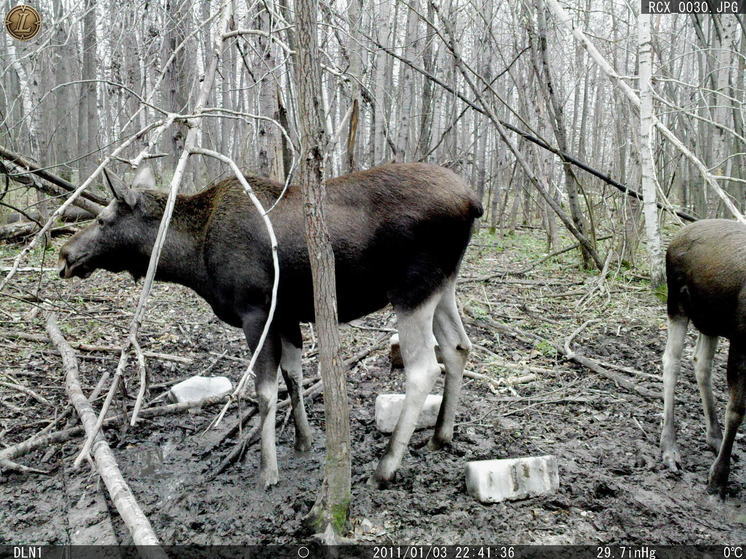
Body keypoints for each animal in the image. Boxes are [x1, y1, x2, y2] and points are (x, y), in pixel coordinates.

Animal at [55, 163, 480, 490]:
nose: (65, 255)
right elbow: (293, 376)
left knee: (423, 368)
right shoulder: (287, 315)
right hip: (443, 286)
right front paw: (303, 442)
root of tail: (473, 202)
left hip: (411, 290)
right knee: (459, 346)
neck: (193, 260)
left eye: (102, 219)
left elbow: (263, 392)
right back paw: (441, 436)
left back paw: (386, 467)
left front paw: (267, 471)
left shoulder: (255, 311)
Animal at [660, 219, 740, 498]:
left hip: (710, 320)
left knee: (701, 362)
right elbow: (736, 409)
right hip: (677, 303)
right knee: (671, 360)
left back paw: (714, 436)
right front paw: (718, 478)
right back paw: (669, 447)